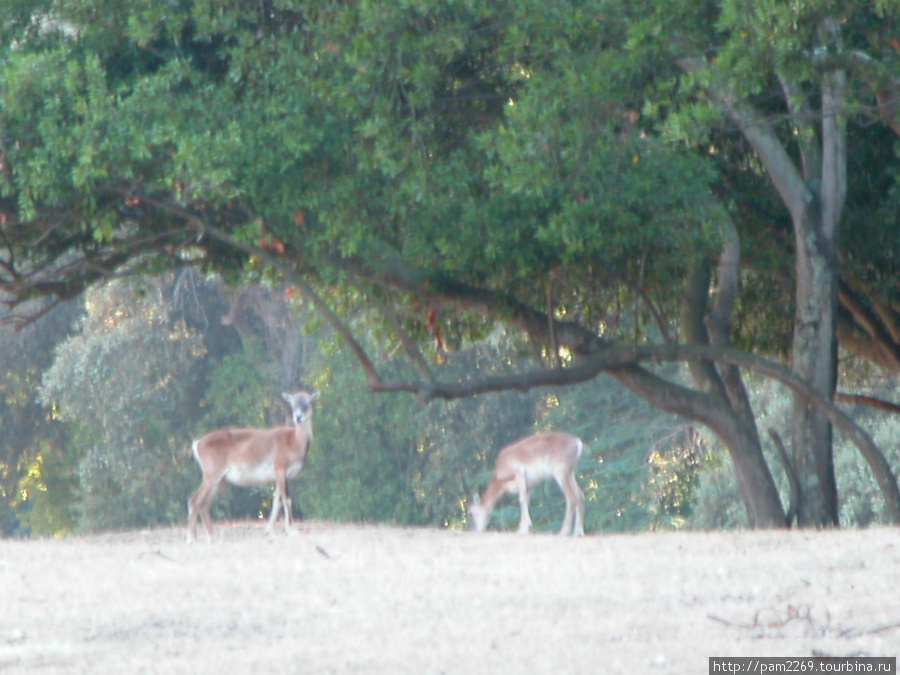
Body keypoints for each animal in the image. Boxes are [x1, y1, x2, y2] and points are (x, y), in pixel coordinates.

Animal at [186, 390, 320, 544]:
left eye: (308, 402)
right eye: (292, 403)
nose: (298, 417)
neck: (294, 442)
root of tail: (197, 444)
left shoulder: (280, 476)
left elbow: (277, 501)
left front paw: (269, 531)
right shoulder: (279, 467)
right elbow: (287, 499)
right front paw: (292, 531)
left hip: (221, 480)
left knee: (204, 503)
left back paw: (212, 537)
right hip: (211, 474)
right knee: (194, 500)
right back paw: (191, 538)